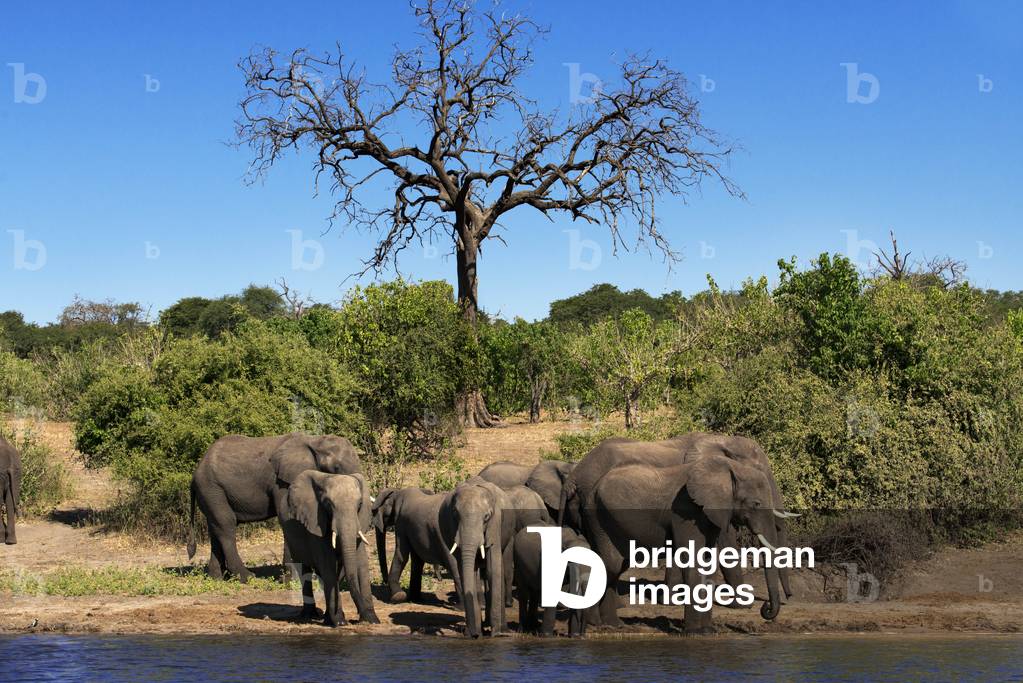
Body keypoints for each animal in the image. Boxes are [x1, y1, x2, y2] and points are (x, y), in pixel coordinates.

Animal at [187, 432, 362, 581]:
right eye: (337, 468)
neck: (315, 441)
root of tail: (195, 473)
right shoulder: (283, 481)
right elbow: (287, 517)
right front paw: (292, 581)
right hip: (211, 489)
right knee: (226, 526)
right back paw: (248, 577)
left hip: (212, 493)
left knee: (215, 528)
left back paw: (216, 578)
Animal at [280, 470, 379, 626]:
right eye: (328, 504)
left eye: (360, 504)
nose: (359, 617)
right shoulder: (315, 523)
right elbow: (327, 564)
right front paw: (339, 622)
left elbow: (361, 563)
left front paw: (372, 620)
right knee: (305, 570)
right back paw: (311, 615)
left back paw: (327, 617)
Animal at [439, 479, 514, 637]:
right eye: (455, 514)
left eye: (486, 517)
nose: (472, 634)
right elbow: (468, 574)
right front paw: (475, 633)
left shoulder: (495, 525)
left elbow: (493, 570)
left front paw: (497, 635)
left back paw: (501, 629)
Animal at [585, 454, 784, 631]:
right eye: (756, 504)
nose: (766, 608)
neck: (730, 468)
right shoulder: (685, 510)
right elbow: (693, 560)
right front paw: (695, 632)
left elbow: (708, 562)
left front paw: (708, 631)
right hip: (598, 518)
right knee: (611, 565)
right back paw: (594, 624)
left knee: (617, 567)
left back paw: (613, 625)